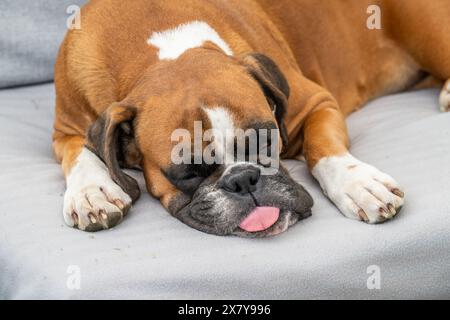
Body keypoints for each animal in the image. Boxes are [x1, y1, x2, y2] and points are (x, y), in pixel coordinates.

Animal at [53, 0, 450, 235]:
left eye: (269, 141)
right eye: (187, 173)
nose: (243, 179)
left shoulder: (316, 102)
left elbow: (324, 147)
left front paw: (358, 183)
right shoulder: (64, 130)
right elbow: (81, 152)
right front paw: (91, 192)